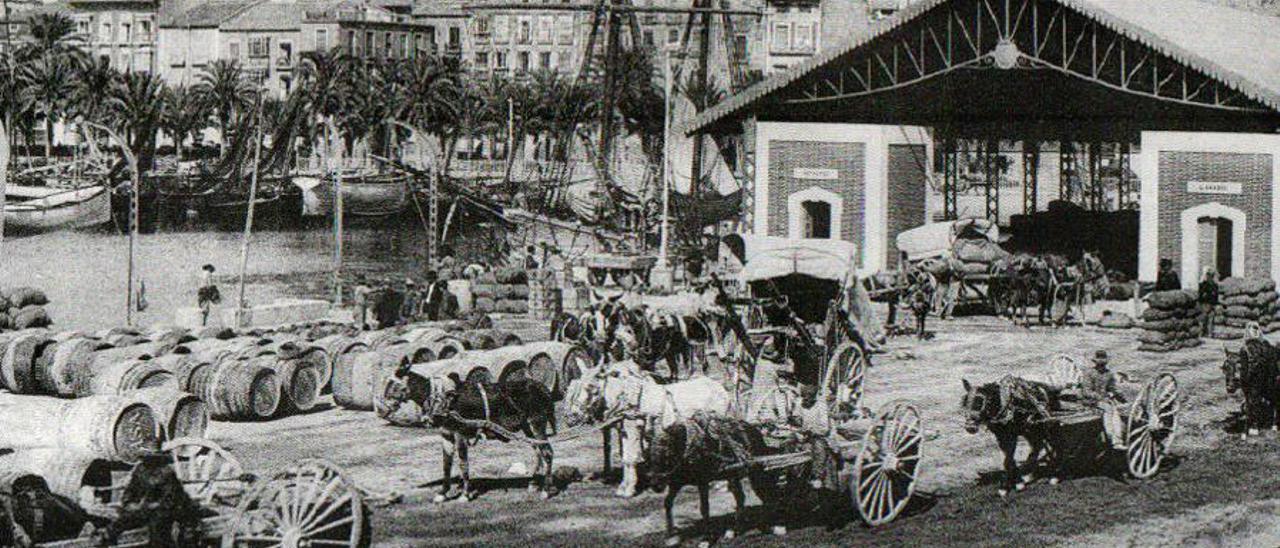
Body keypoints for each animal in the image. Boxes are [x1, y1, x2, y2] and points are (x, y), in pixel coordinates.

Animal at [419, 376, 560, 501]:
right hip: (527, 428)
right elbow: (446, 464)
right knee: (538, 451)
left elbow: (463, 463)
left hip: (537, 423)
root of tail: (541, 386)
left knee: (547, 453)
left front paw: (465, 494)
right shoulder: (447, 435)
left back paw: (546, 491)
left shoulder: (461, 434)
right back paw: (534, 483)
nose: (425, 420)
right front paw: (442, 493)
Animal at [568, 358, 737, 496]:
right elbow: (625, 457)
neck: (624, 397)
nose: (573, 416)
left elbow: (630, 458)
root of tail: (721, 389)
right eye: (577, 385)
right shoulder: (624, 431)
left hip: (716, 424)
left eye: (591, 388)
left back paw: (722, 484)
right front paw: (624, 486)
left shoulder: (633, 428)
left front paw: (629, 489)